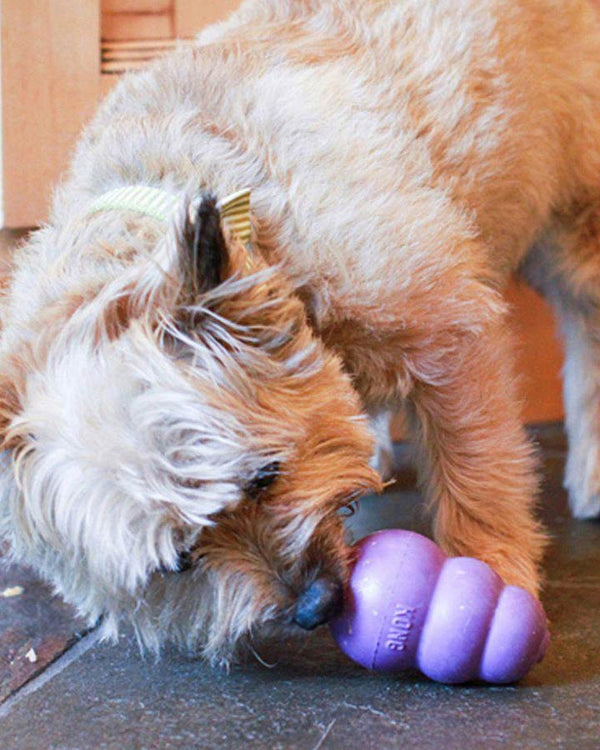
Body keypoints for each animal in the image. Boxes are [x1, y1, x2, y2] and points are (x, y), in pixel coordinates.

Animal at [1, 0, 600, 668]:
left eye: (266, 475)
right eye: (179, 560)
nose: (315, 606)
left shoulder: (450, 339)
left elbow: (476, 473)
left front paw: (491, 569)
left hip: (575, 234)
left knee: (587, 330)